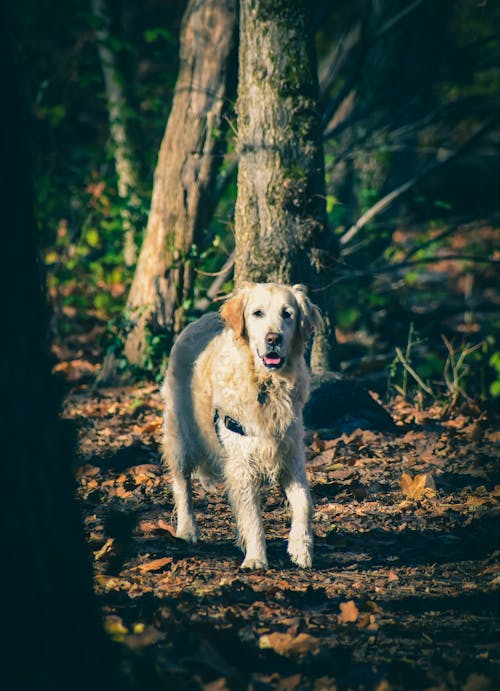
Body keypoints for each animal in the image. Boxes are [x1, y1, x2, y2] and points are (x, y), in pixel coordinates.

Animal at [162, 282, 322, 568]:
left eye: (288, 314)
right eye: (257, 313)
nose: (273, 339)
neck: (266, 385)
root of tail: (201, 318)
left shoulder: (290, 455)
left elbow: (305, 502)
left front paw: (300, 548)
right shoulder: (242, 462)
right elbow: (254, 518)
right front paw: (256, 559)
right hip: (180, 436)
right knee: (182, 484)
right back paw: (187, 529)